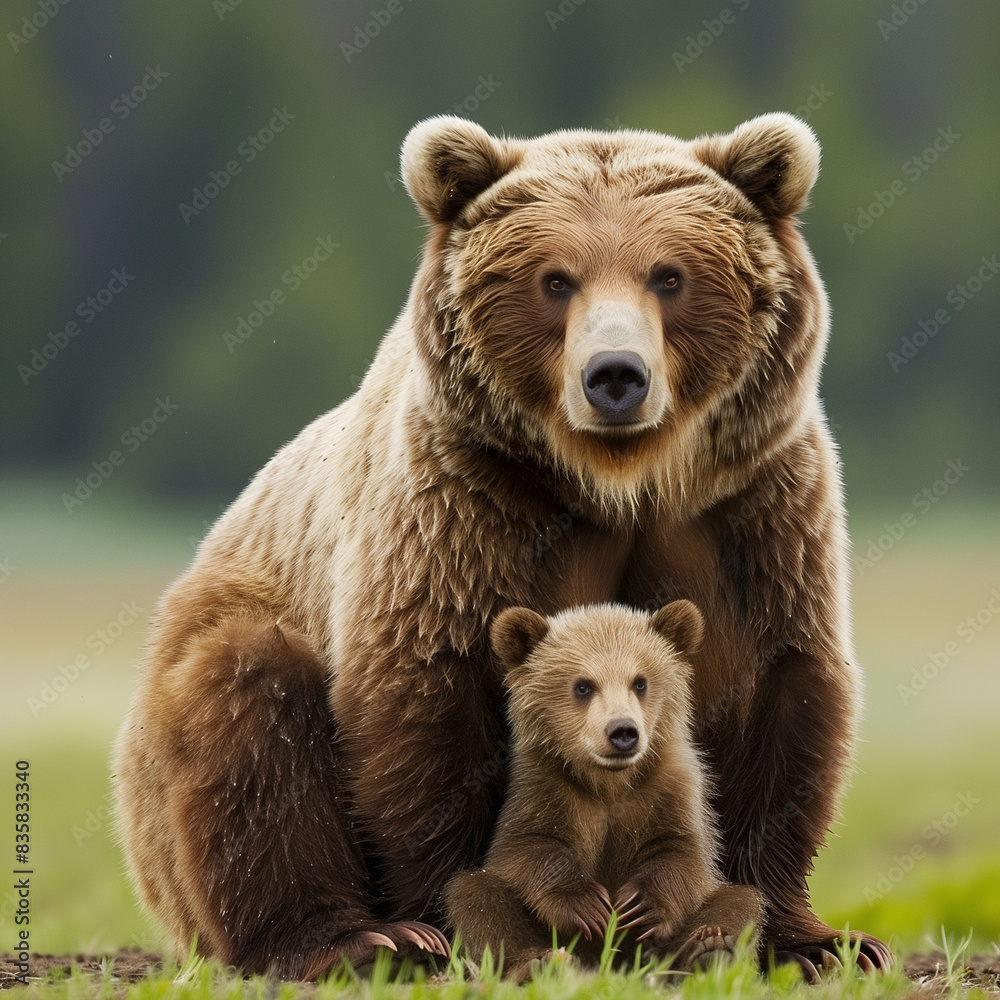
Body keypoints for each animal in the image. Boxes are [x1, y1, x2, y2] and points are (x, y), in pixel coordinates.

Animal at [445, 599, 764, 982]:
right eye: (583, 686)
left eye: (640, 682)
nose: (623, 731)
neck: (609, 782)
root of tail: (609, 964)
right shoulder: (541, 784)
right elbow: (527, 847)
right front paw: (587, 905)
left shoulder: (673, 786)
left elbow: (683, 852)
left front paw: (640, 906)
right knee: (475, 896)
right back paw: (537, 963)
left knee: (741, 901)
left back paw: (708, 950)